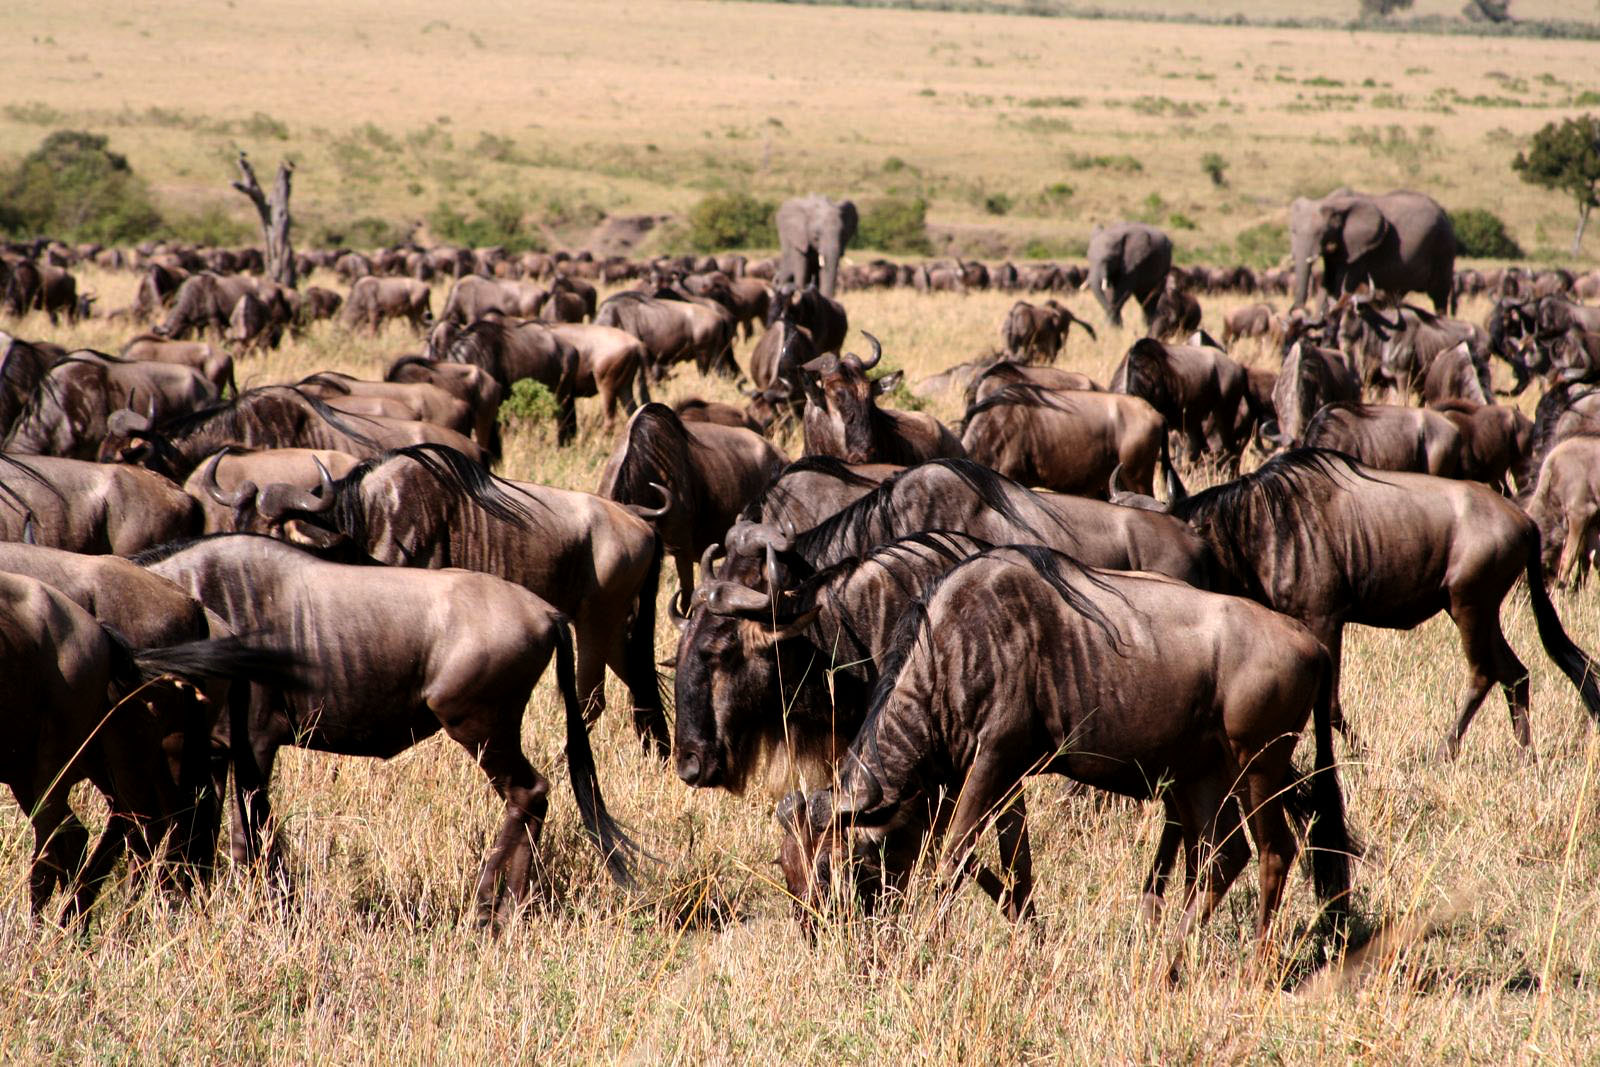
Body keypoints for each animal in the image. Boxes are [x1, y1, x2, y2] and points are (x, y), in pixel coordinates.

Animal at [1289, 189, 1456, 315]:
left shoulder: (1361, 248)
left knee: (1439, 296)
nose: (1297, 310)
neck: (1332, 202)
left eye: (1321, 233)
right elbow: (1327, 283)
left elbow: (1342, 283)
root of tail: (1443, 211)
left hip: (1443, 247)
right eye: (1293, 231)